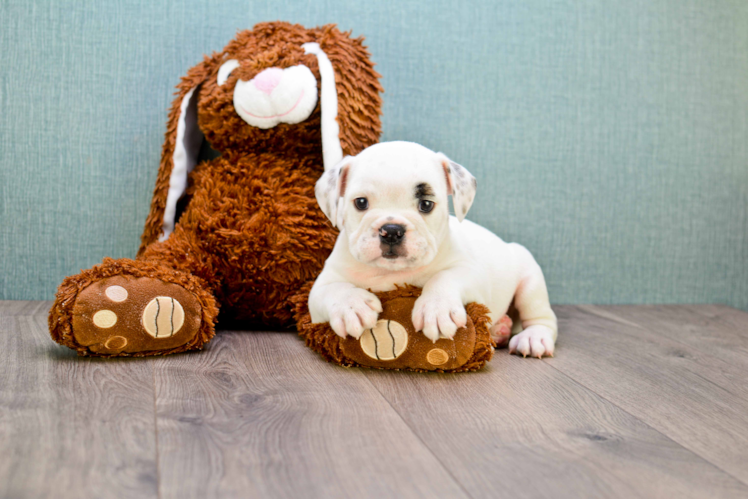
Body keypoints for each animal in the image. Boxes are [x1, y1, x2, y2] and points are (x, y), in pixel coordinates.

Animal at [306, 143, 560, 358]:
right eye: (360, 203)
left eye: (426, 204)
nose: (392, 230)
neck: (391, 272)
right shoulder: (321, 287)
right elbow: (334, 289)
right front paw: (352, 306)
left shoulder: (470, 272)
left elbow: (444, 277)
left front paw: (437, 309)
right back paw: (500, 329)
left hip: (531, 282)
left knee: (542, 317)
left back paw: (533, 337)